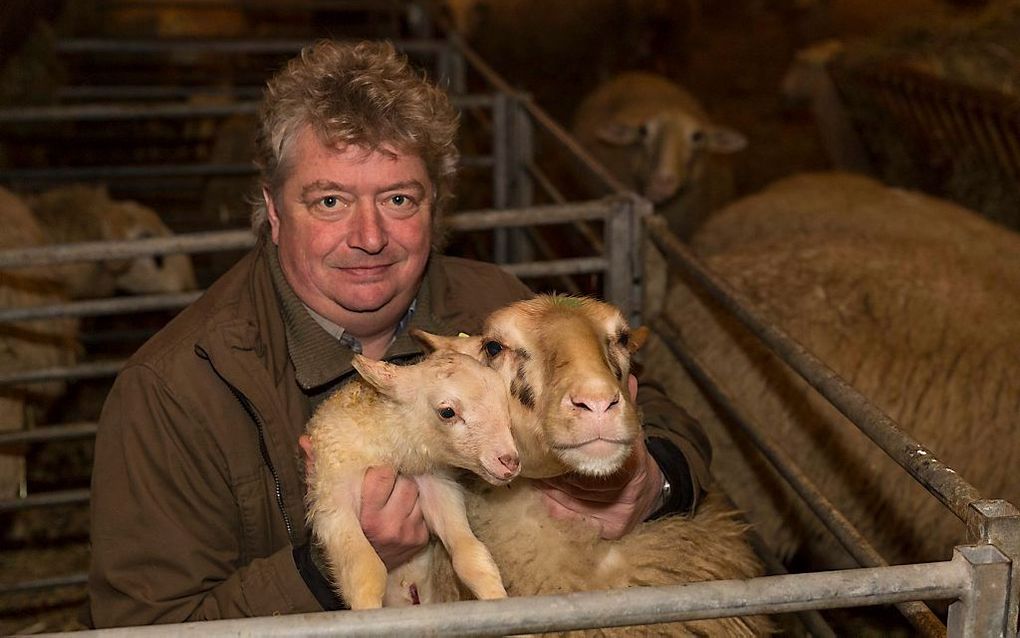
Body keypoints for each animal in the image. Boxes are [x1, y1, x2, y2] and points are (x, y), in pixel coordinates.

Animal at [303, 330, 522, 608]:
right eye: (447, 412)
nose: (510, 460)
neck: (391, 450)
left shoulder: (437, 487)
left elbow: (472, 555)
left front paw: (496, 598)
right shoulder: (332, 500)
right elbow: (365, 569)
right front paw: (367, 609)